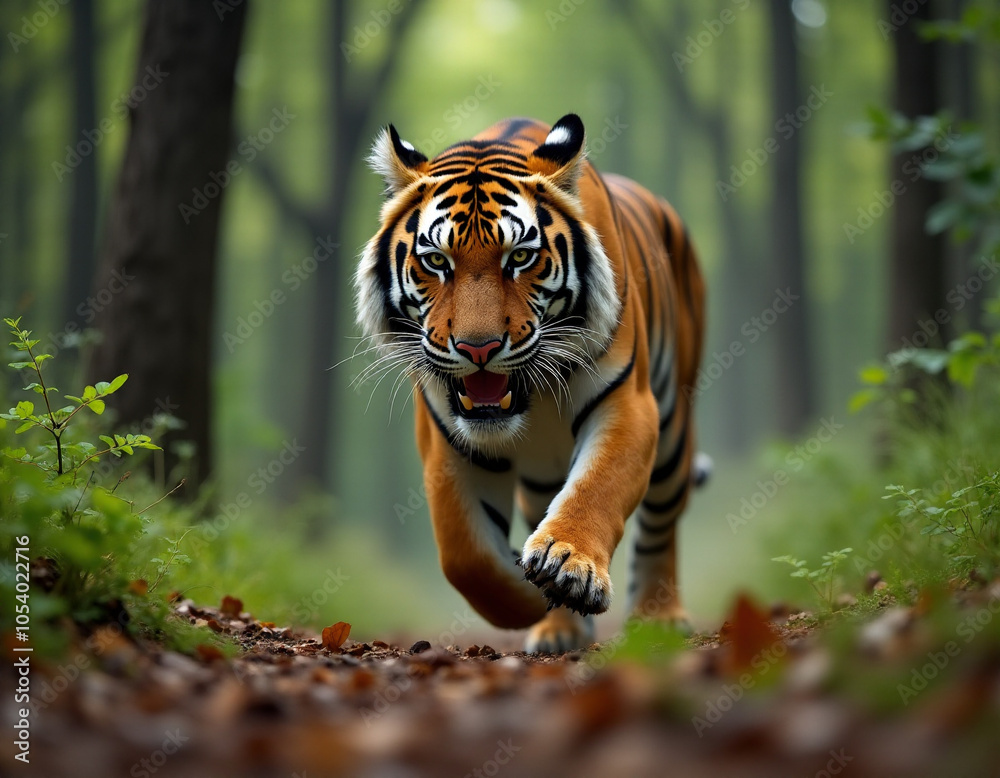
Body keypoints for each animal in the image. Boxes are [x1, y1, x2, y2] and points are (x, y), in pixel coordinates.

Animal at [356, 114, 707, 653]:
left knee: (660, 527)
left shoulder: (627, 403)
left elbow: (598, 487)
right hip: (542, 474)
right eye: (436, 261)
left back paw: (657, 620)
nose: (478, 348)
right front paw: (528, 596)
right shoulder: (448, 439)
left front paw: (568, 568)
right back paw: (559, 631)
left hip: (673, 435)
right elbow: (465, 556)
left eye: (519, 257)